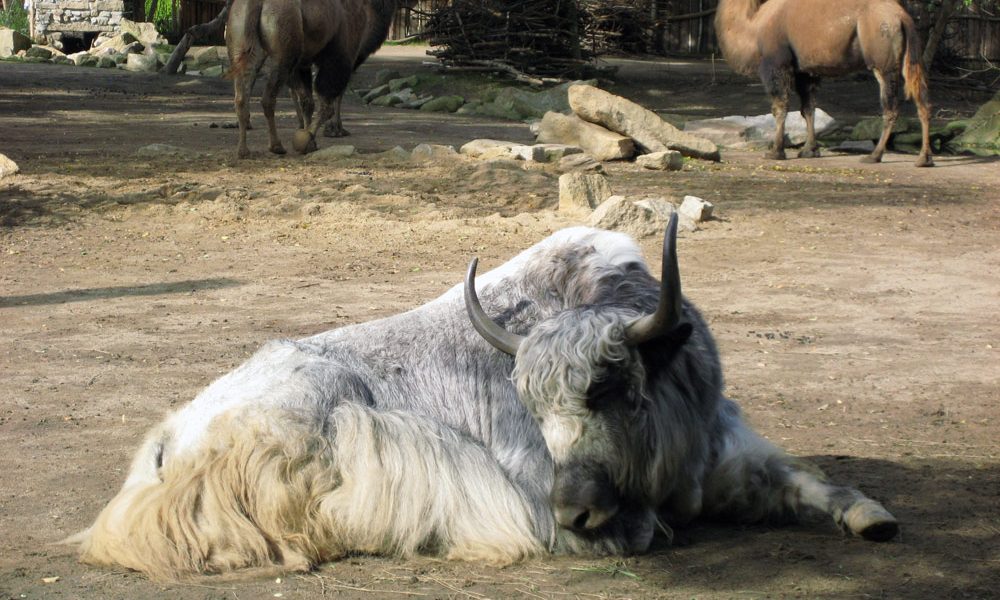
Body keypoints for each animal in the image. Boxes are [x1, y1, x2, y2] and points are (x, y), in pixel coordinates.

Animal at [225, 0, 400, 159]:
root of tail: (256, 3)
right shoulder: (341, 56)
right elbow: (327, 103)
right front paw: (308, 139)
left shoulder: (303, 64)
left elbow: (308, 102)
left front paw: (312, 140)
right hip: (283, 54)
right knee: (268, 98)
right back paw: (276, 146)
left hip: (241, 46)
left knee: (241, 97)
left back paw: (243, 150)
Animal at [716, 0, 932, 166]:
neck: (754, 25)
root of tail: (902, 16)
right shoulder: (805, 71)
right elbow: (808, 109)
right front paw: (809, 150)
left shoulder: (776, 63)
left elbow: (780, 107)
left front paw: (775, 152)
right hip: (908, 57)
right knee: (922, 100)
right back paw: (924, 158)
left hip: (882, 60)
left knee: (890, 107)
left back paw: (874, 156)